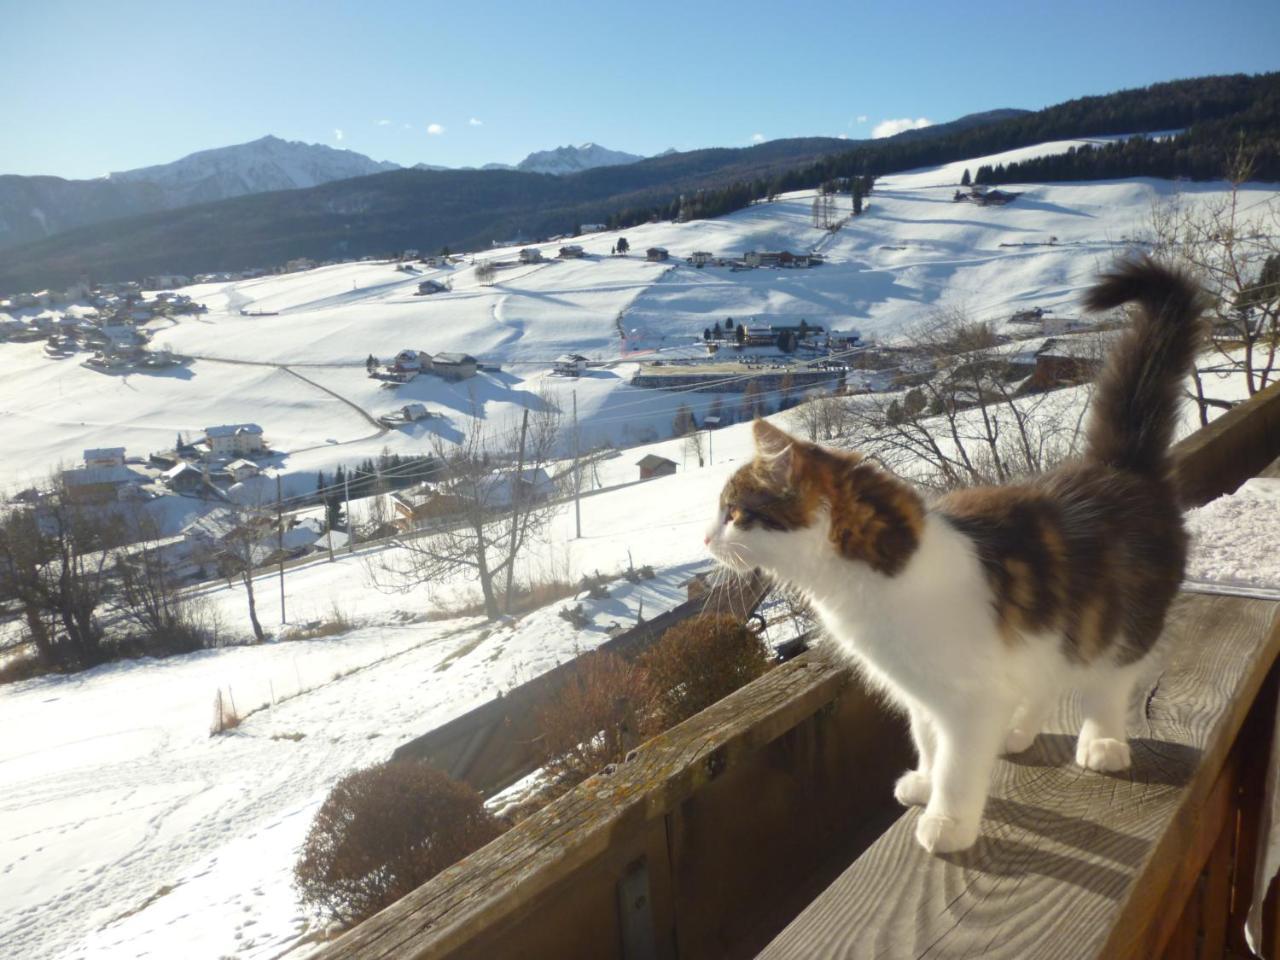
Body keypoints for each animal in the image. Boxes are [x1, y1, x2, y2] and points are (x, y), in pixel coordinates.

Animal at [706, 257, 1203, 855]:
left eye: (733, 512)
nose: (705, 541)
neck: (868, 583)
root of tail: (1116, 468)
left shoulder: (968, 700)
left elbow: (958, 764)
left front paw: (948, 820)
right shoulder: (922, 694)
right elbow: (928, 742)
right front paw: (924, 780)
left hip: (1122, 621)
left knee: (1107, 681)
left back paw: (1101, 742)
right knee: (1044, 679)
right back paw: (1018, 730)